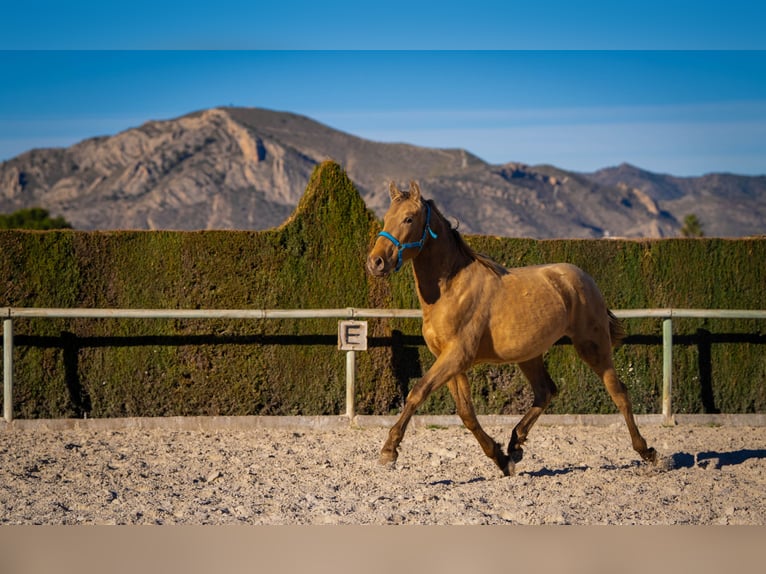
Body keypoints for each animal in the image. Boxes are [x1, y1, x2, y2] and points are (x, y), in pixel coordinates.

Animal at [368, 183, 656, 476]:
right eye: (386, 218)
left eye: (408, 219)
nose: (375, 262)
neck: (452, 289)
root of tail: (585, 278)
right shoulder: (449, 360)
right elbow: (466, 413)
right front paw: (501, 458)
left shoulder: (457, 356)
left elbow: (418, 392)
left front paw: (389, 450)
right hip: (529, 355)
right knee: (546, 391)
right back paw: (515, 444)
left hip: (592, 346)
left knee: (618, 392)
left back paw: (647, 451)